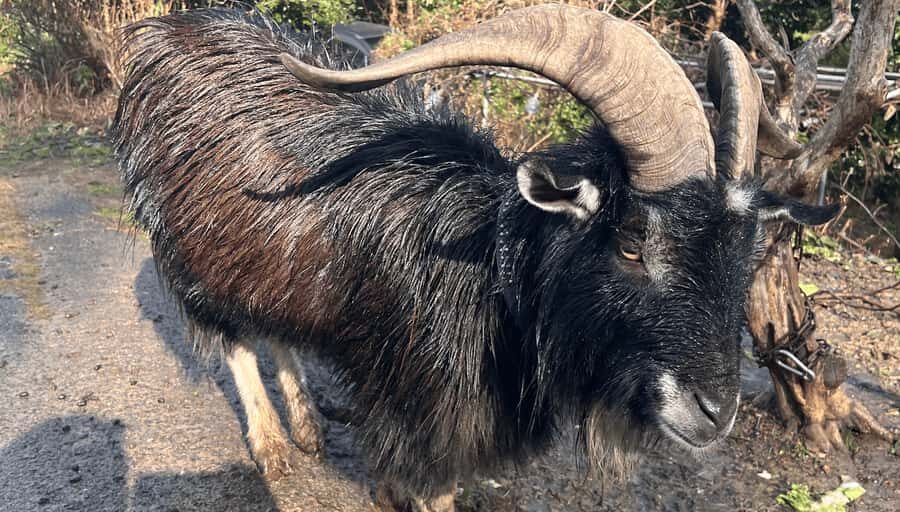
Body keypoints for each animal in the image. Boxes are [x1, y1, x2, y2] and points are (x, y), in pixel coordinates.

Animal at [113, 5, 838, 511]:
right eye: (632, 243)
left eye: (746, 254)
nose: (716, 413)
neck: (491, 274)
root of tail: (161, 32)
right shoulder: (419, 412)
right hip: (187, 248)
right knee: (234, 337)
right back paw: (273, 450)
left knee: (274, 327)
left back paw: (308, 428)